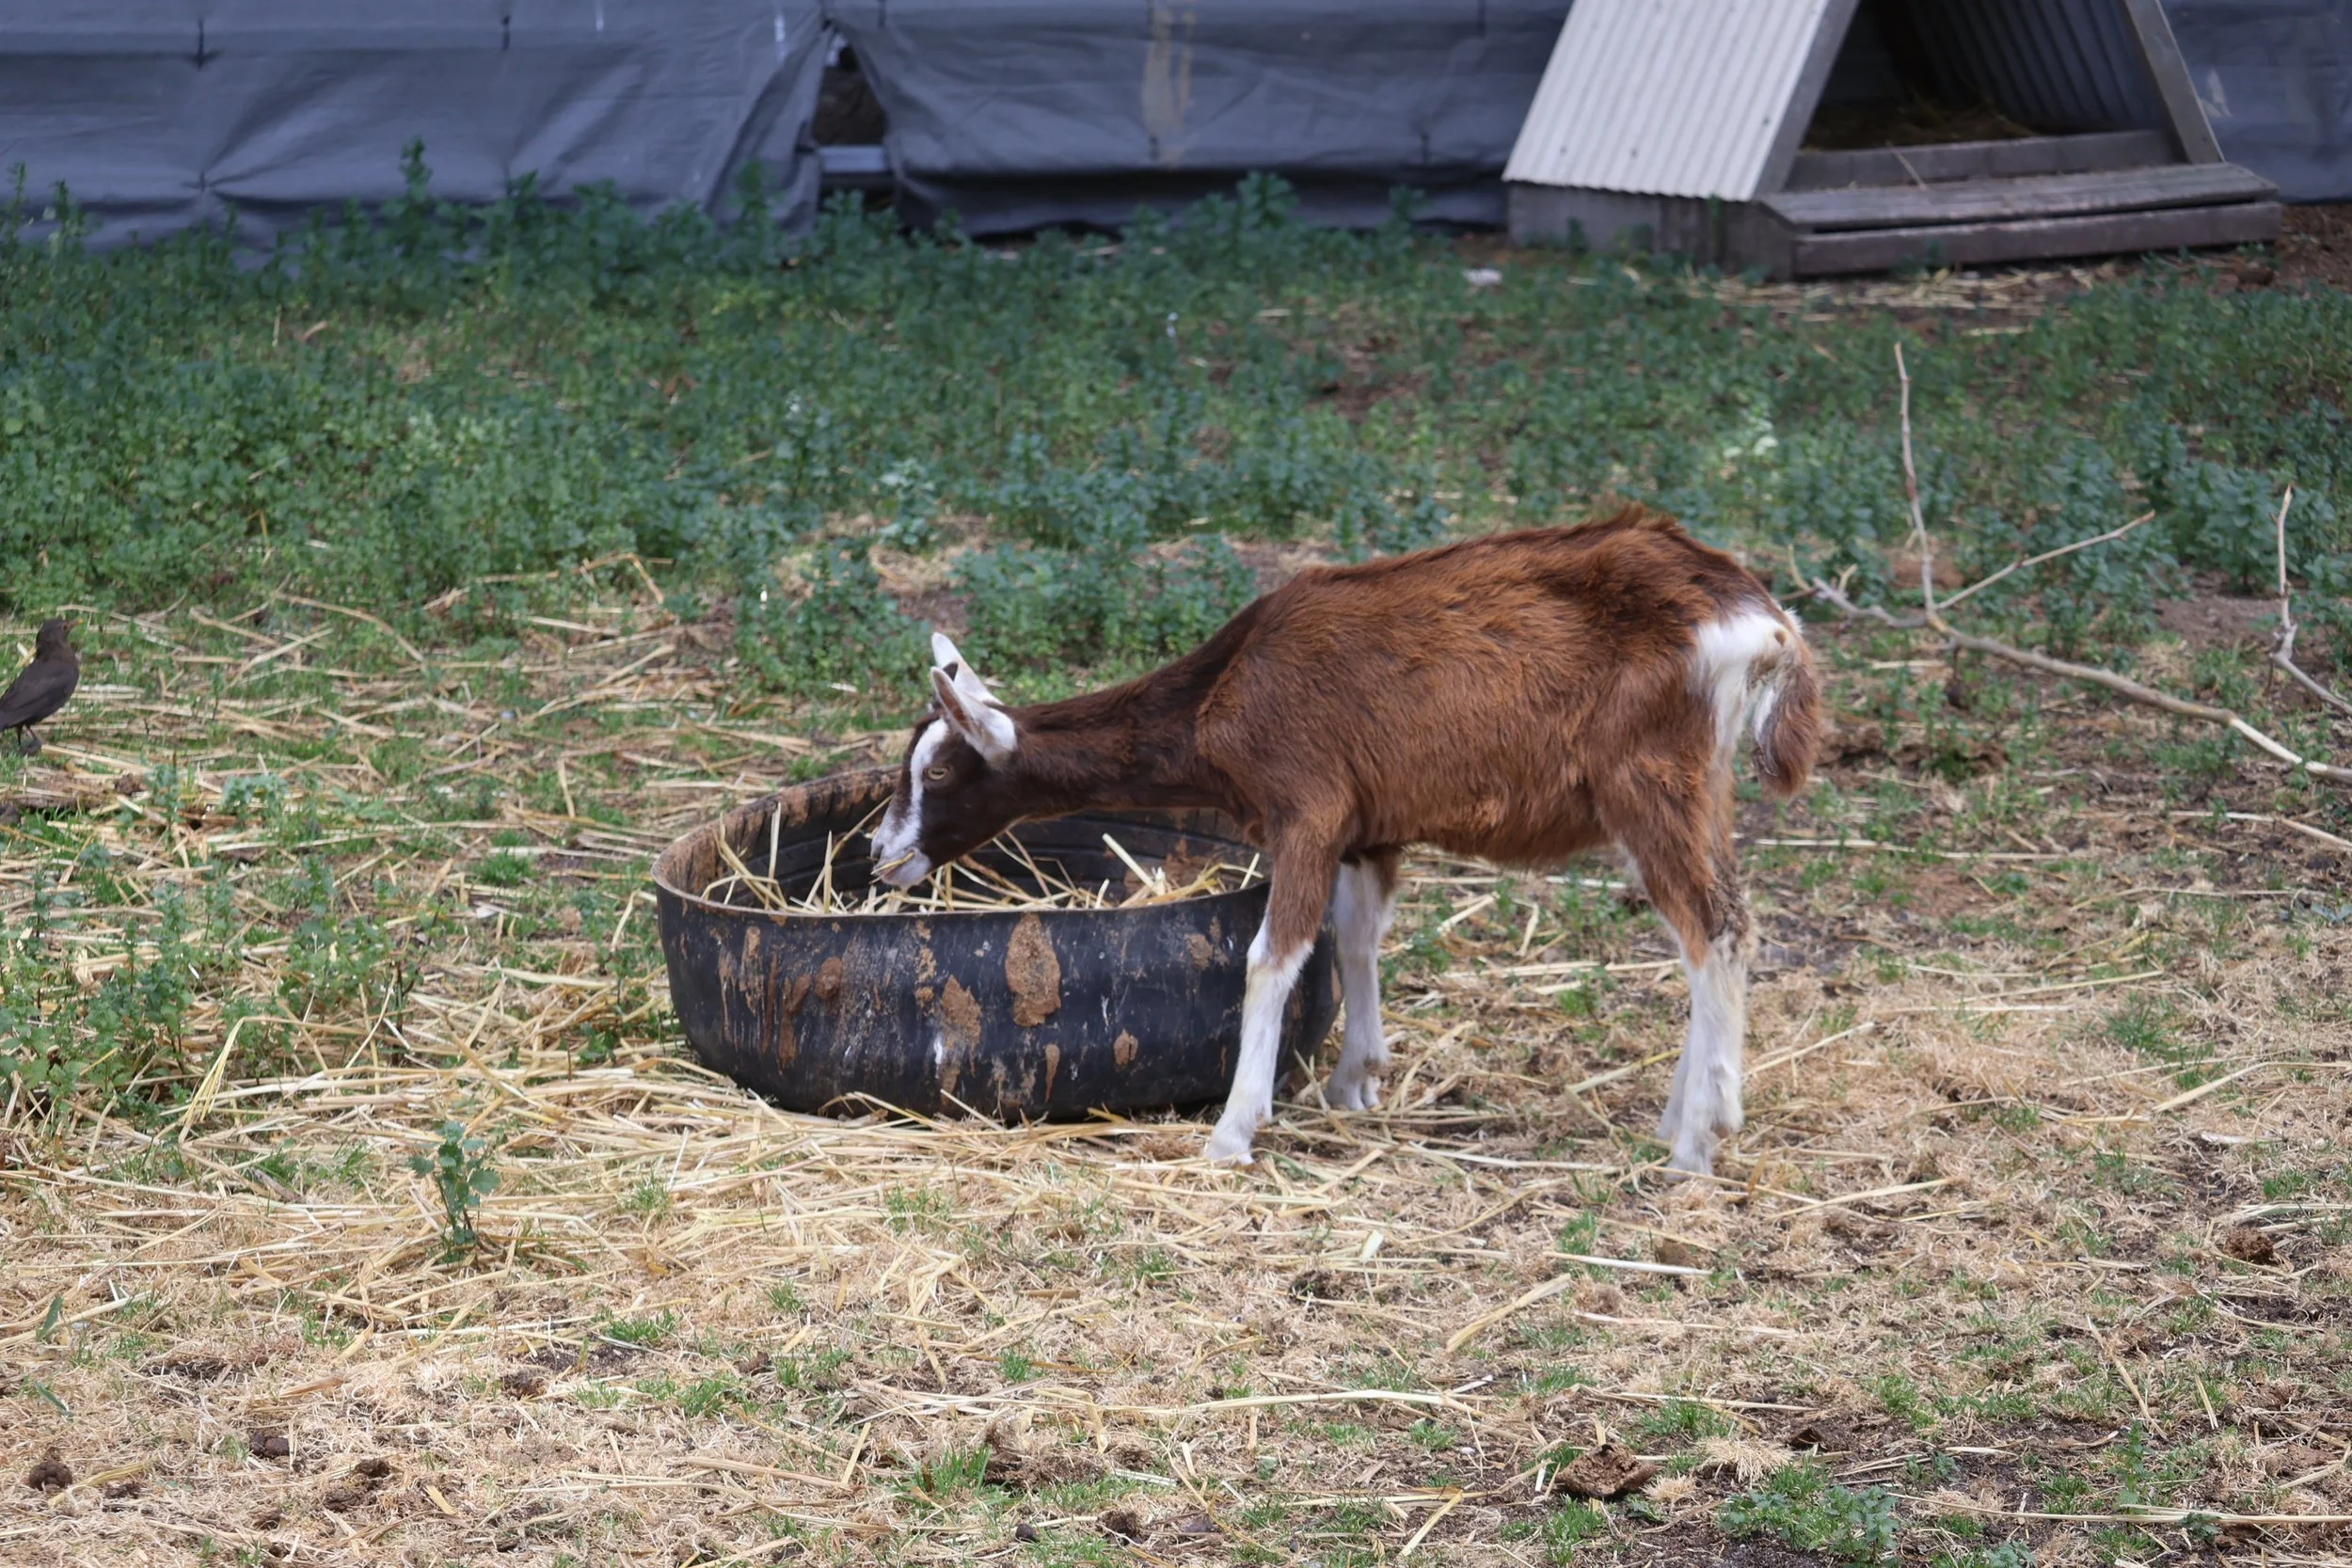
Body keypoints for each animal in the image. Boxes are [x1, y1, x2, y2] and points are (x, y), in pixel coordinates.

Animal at [872, 506, 1820, 1175]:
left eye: (942, 772)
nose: (882, 856)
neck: (1226, 689)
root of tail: (1765, 622)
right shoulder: (1370, 827)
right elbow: (1359, 939)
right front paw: (1355, 1080)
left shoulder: (1309, 808)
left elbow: (1273, 955)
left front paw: (1233, 1130)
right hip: (1701, 785)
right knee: (1711, 930)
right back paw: (1677, 1117)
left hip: (1650, 780)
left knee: (1715, 930)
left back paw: (1698, 1141)